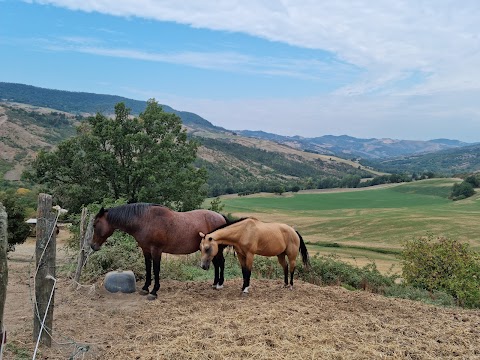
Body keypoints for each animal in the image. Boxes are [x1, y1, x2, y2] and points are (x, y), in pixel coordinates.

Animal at [90, 204, 229, 300]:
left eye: (95, 225)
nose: (93, 246)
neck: (145, 221)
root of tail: (220, 216)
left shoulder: (156, 250)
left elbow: (156, 269)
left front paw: (154, 291)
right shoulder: (146, 250)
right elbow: (148, 267)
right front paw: (145, 288)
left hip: (217, 250)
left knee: (221, 263)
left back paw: (220, 284)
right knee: (217, 264)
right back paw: (214, 283)